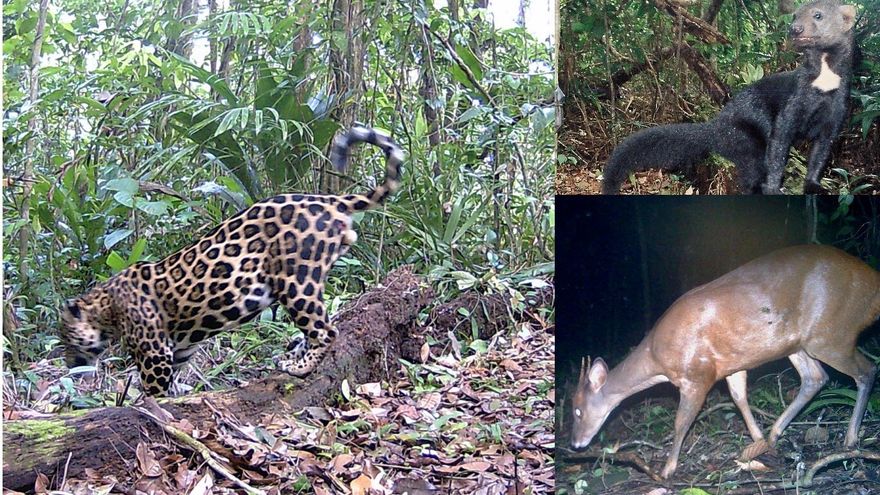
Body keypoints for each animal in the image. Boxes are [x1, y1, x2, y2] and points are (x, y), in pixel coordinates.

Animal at [60, 126, 404, 396]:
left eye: (67, 339)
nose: (70, 366)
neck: (106, 307)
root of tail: (328, 200)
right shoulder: (180, 347)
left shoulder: (153, 351)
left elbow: (153, 388)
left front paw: (148, 405)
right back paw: (291, 357)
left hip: (296, 281)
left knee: (326, 331)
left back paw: (300, 367)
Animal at [571, 244, 880, 478]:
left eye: (577, 410)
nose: (575, 443)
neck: (657, 360)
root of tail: (873, 284)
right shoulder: (731, 365)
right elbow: (739, 397)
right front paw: (757, 441)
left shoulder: (698, 374)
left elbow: (681, 422)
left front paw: (667, 469)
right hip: (798, 342)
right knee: (815, 378)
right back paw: (774, 434)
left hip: (831, 334)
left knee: (866, 369)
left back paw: (850, 440)